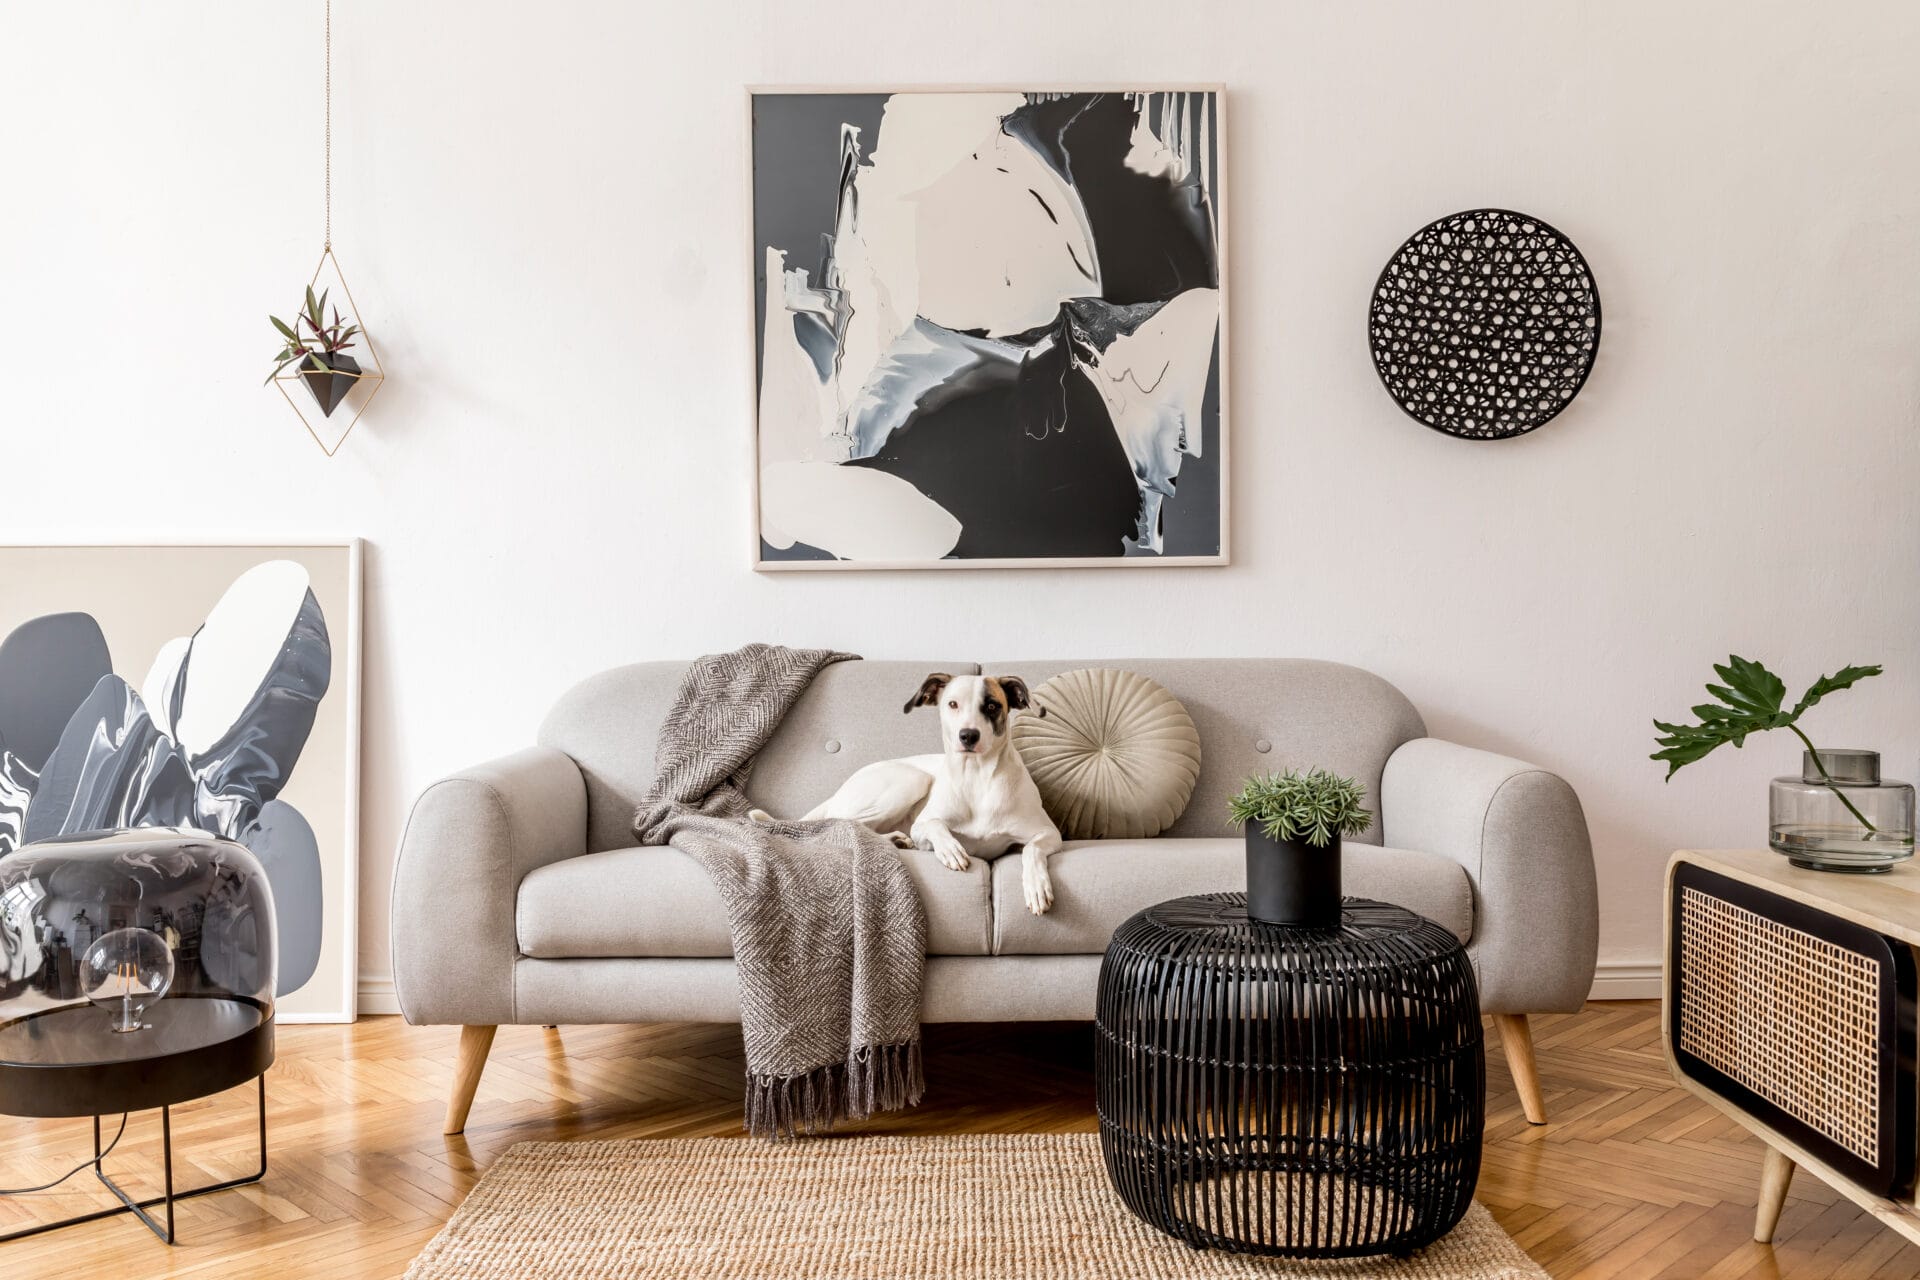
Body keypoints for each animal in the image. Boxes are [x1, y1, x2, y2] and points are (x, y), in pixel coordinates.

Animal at [744, 675, 1067, 917]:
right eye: (952, 704)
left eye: (991, 705)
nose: (967, 735)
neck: (977, 778)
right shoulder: (923, 827)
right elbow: (935, 826)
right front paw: (951, 849)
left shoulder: (1048, 833)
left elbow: (1031, 849)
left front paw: (1036, 886)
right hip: (911, 780)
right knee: (843, 824)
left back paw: (895, 841)